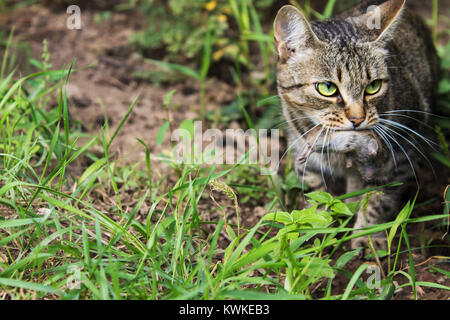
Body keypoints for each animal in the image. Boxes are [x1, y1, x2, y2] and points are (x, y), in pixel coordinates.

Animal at [274, 0, 440, 250]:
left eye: (373, 86)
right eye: (327, 88)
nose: (358, 119)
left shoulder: (400, 153)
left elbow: (378, 200)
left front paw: (366, 237)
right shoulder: (303, 150)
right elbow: (315, 195)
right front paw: (318, 230)